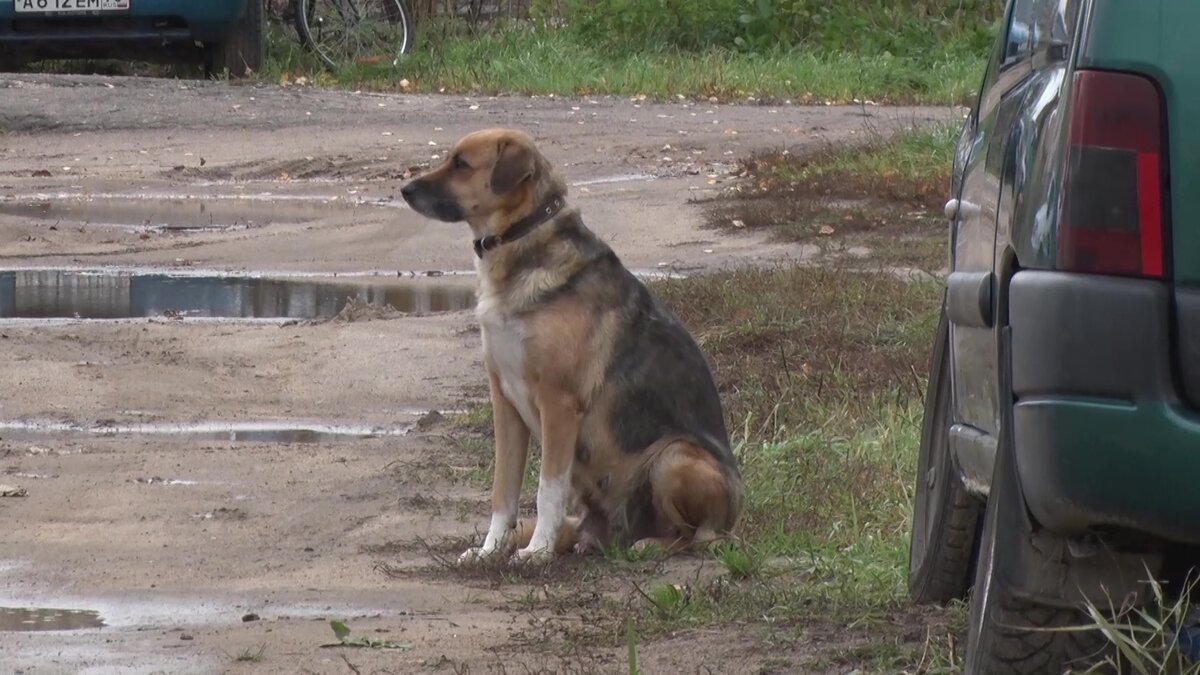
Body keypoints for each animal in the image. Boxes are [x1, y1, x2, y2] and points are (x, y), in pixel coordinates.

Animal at [403, 127, 739, 562]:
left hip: (676, 458)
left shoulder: (558, 404)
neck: (519, 241)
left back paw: (650, 545)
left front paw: (537, 552)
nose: (405, 189)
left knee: (699, 537)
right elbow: (503, 492)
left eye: (461, 164)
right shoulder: (504, 402)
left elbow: (548, 489)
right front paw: (491, 550)